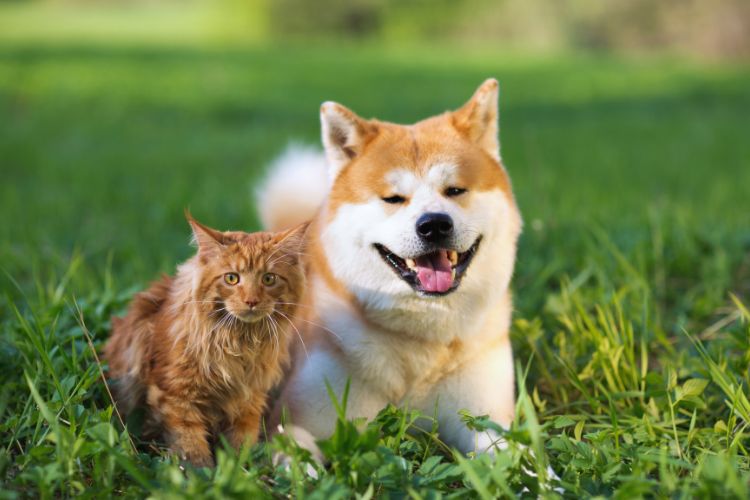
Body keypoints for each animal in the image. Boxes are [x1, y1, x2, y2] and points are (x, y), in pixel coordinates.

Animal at [104, 216, 306, 468]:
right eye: (232, 278)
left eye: (268, 279)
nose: (251, 301)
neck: (239, 342)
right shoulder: (176, 393)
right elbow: (189, 442)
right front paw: (200, 469)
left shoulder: (250, 399)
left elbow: (241, 443)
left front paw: (238, 468)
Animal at [258, 79, 524, 458]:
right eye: (393, 198)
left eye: (455, 190)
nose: (434, 225)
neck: (420, 339)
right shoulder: (294, 423)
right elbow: (298, 456)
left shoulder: (488, 420)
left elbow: (524, 456)